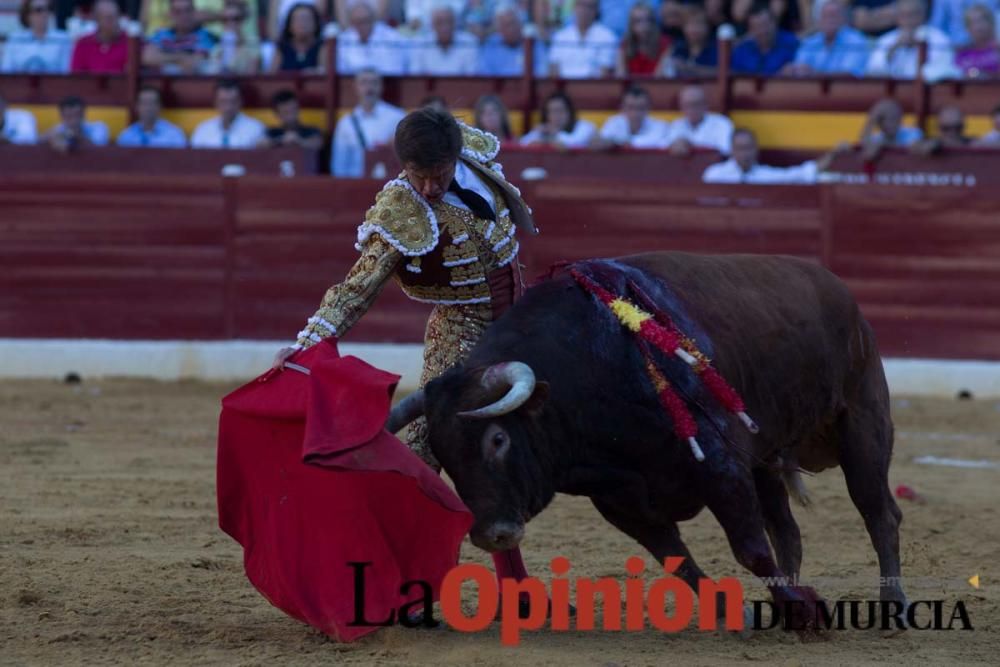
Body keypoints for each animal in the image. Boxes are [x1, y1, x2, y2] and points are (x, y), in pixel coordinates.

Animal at [386, 253, 904, 636]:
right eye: (444, 454)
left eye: (498, 438)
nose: (490, 533)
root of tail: (834, 284)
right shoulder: (621, 501)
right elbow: (678, 561)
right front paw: (742, 612)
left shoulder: (721, 469)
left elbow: (750, 549)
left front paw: (803, 611)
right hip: (766, 456)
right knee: (788, 531)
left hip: (862, 422)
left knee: (878, 512)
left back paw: (891, 607)